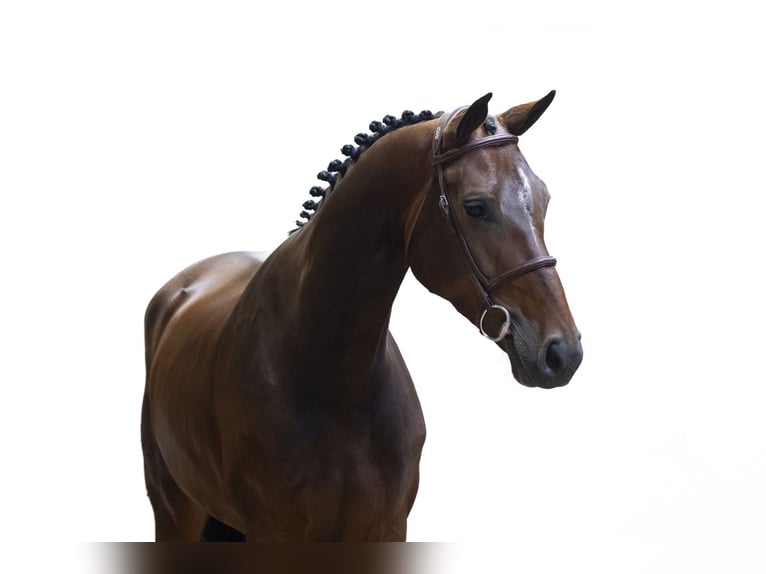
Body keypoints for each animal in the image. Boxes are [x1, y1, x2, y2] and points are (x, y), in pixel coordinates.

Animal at [141, 91, 583, 542]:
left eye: (544, 198)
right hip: (175, 511)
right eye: (475, 207)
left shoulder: (387, 528)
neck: (337, 386)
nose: (562, 351)